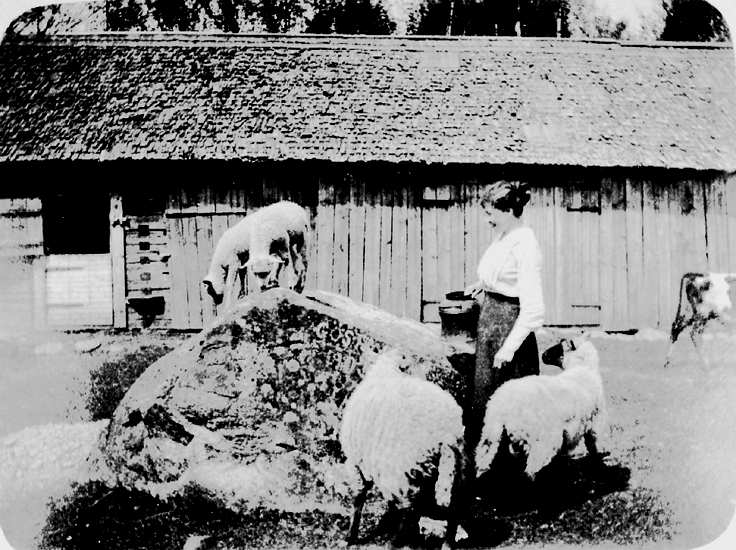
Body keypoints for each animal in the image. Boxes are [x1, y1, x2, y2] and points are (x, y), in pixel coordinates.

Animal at [339, 351, 466, 549]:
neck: (385, 370)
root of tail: (447, 434)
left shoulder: (356, 464)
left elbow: (358, 498)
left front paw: (350, 536)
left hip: (409, 470)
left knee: (410, 509)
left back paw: (396, 541)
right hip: (452, 468)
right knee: (454, 506)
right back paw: (446, 542)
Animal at [474, 336, 607, 481]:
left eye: (558, 348)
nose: (543, 355)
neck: (582, 369)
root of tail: (504, 406)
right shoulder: (594, 424)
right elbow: (595, 446)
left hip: (492, 433)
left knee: (484, 459)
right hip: (542, 440)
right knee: (530, 471)